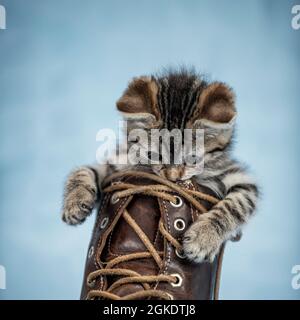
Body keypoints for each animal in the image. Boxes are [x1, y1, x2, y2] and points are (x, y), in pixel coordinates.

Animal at [62, 69, 258, 262]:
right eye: (152, 155)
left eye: (193, 159)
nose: (172, 178)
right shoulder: (120, 164)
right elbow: (85, 170)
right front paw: (75, 200)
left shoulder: (237, 177)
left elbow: (235, 205)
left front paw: (204, 237)